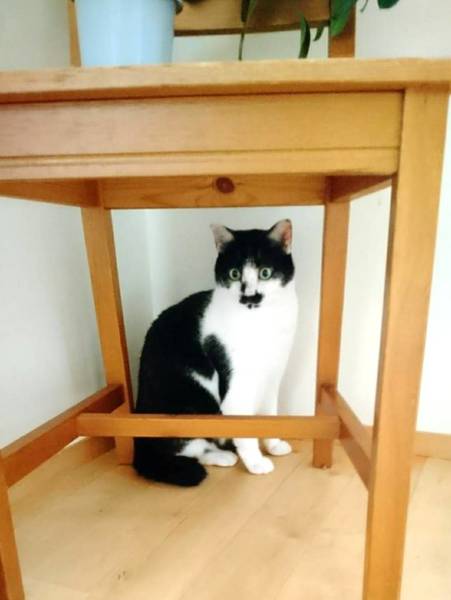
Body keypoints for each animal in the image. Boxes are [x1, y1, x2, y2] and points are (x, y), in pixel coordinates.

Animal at [133, 219, 298, 486]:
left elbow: (269, 415)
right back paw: (222, 456)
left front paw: (273, 445)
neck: (261, 322)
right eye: (234, 274)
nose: (249, 296)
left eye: (265, 272)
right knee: (188, 449)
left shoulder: (272, 377)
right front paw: (256, 462)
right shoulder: (236, 388)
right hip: (188, 404)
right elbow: (244, 428)